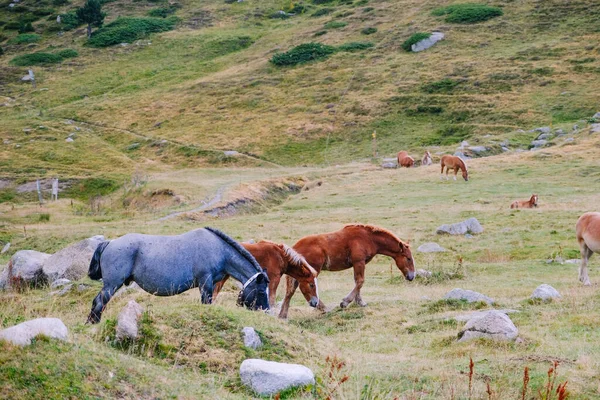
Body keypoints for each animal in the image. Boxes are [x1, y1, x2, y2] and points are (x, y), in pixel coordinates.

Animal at [86, 227, 270, 324]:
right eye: (261, 291)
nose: (266, 311)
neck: (219, 250)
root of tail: (110, 242)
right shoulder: (205, 282)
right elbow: (206, 303)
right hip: (111, 285)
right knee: (99, 302)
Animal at [278, 225, 414, 318]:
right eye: (408, 258)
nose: (411, 276)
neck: (368, 238)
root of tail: (295, 248)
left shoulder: (357, 264)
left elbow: (357, 281)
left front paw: (360, 302)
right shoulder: (359, 262)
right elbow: (360, 281)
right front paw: (345, 302)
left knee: (290, 291)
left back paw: (283, 315)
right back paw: (323, 308)